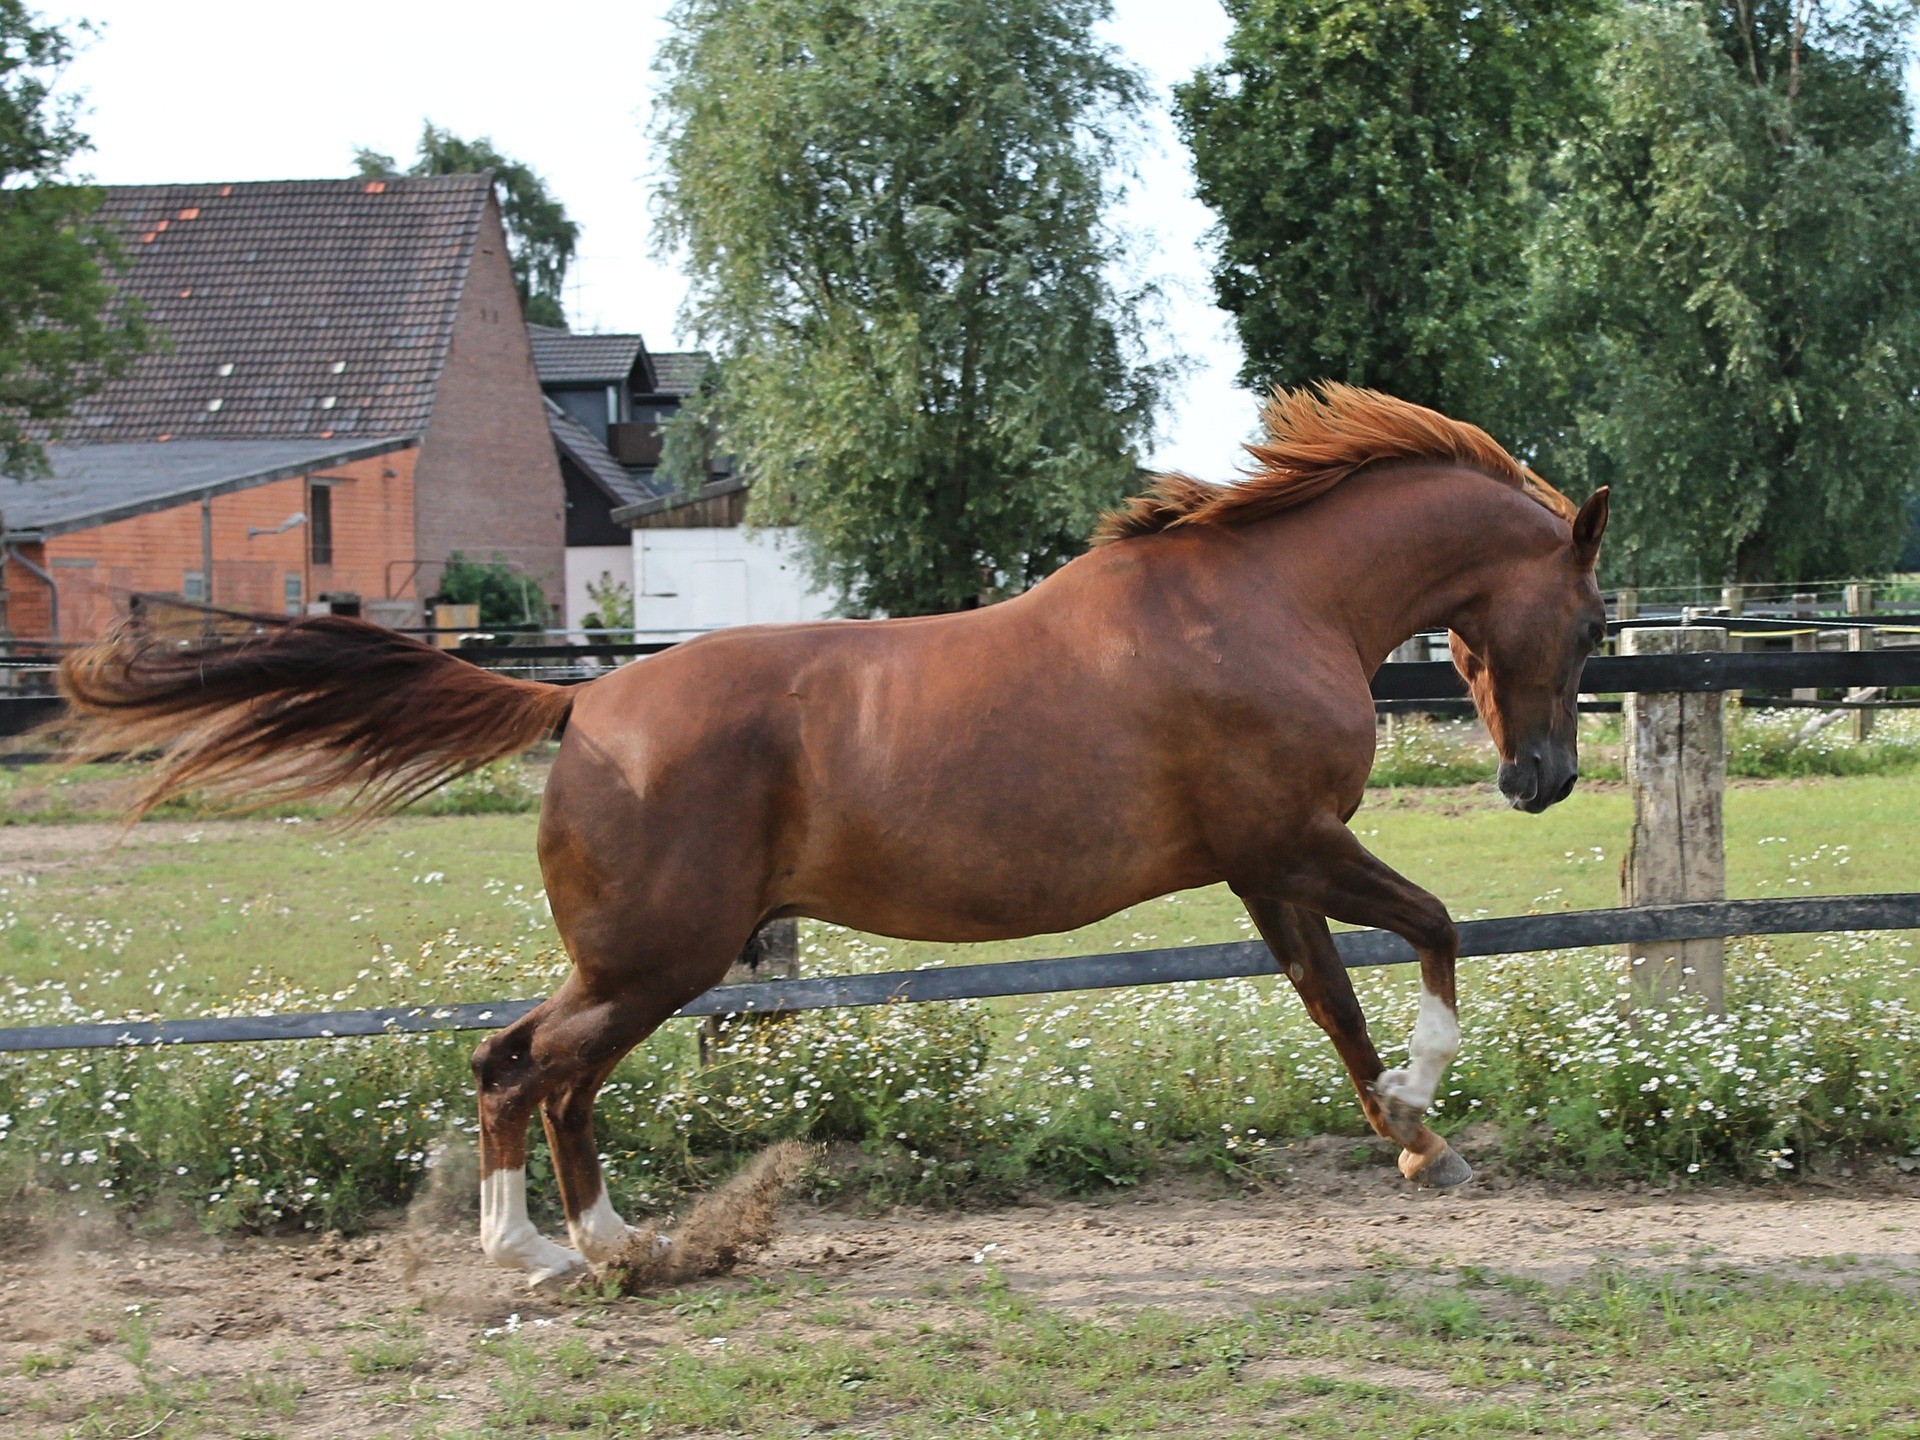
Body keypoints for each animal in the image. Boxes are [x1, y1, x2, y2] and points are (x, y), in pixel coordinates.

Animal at [63, 384, 1605, 1282]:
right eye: (1591, 619)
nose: (1543, 781)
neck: (1264, 603)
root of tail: (582, 706)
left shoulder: (1263, 870)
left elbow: (1334, 1001)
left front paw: (1411, 1138)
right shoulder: (1289, 842)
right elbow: (1430, 939)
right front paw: (1430, 1113)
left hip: (646, 960)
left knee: (547, 1073)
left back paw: (620, 1243)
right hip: (660, 957)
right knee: (522, 1068)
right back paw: (539, 1257)